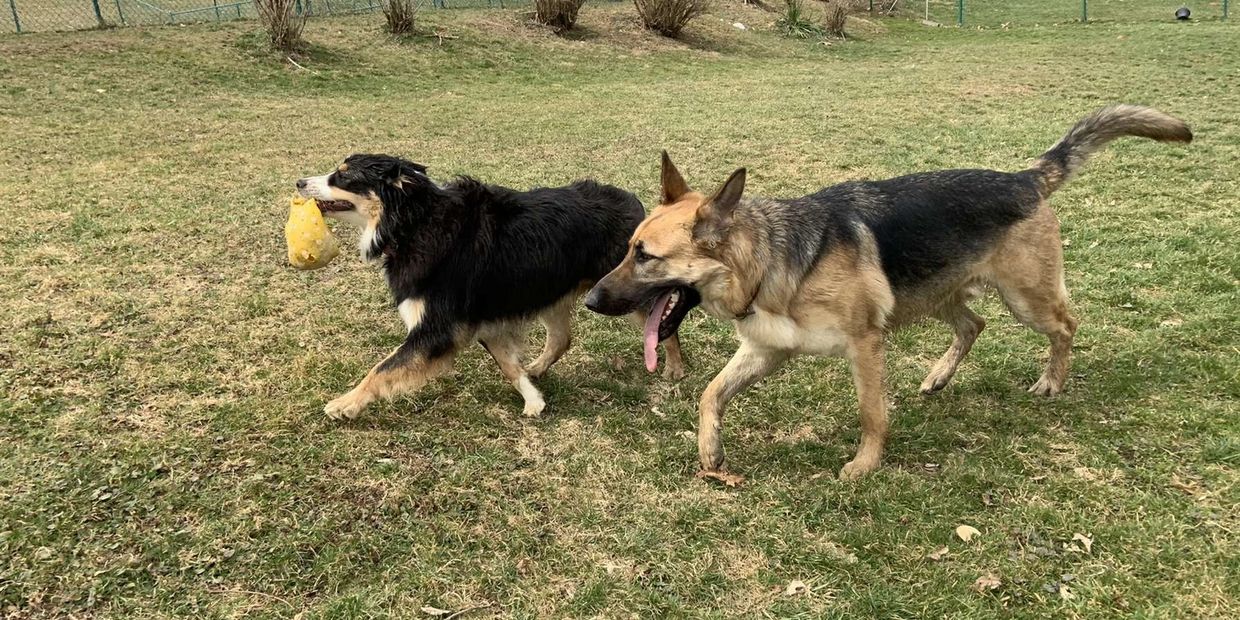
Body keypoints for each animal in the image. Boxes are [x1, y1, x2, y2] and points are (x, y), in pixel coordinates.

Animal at [297, 153, 689, 421]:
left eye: (342, 175)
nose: (298, 182)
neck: (413, 221)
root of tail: (634, 202)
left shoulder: (437, 329)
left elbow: (381, 369)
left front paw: (344, 404)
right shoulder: (482, 319)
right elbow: (507, 364)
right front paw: (533, 398)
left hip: (623, 290)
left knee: (664, 322)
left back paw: (675, 369)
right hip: (551, 292)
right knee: (562, 338)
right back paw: (538, 368)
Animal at [587, 104, 1190, 476]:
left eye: (644, 256)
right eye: (629, 247)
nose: (590, 300)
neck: (766, 261)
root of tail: (1023, 178)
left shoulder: (865, 346)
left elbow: (872, 413)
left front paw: (865, 465)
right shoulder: (767, 350)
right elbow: (711, 393)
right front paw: (710, 450)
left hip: (1026, 300)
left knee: (1065, 325)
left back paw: (1052, 380)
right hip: (939, 295)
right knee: (974, 324)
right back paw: (940, 376)